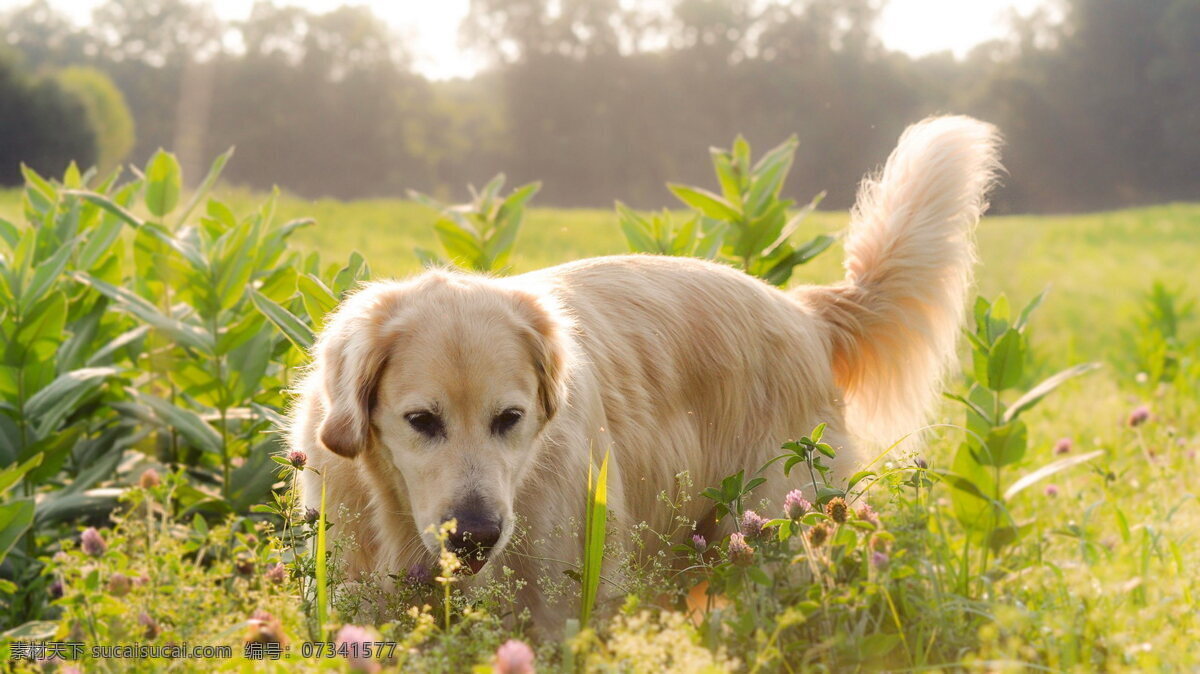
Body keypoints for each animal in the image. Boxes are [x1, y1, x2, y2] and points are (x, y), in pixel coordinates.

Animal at [290, 113, 1003, 628]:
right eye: (421, 421)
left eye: (509, 419)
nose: (476, 537)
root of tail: (803, 309)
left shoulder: (560, 607)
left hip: (773, 540)